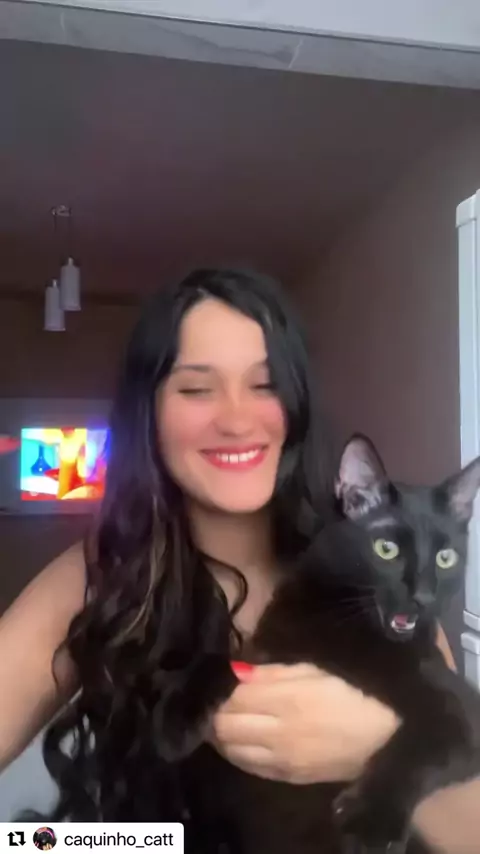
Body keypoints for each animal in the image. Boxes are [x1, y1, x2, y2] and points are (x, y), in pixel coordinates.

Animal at [160, 434, 480, 854]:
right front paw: (176, 718)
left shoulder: (462, 708)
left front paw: (370, 821)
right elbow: (217, 659)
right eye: (386, 549)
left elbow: (421, 749)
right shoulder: (265, 657)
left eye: (446, 558)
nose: (424, 597)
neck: (346, 629)